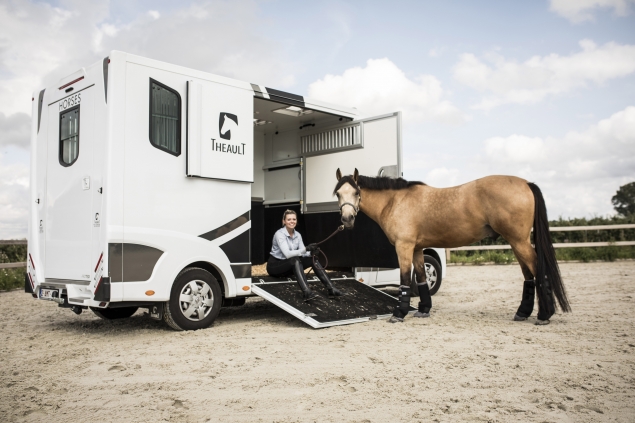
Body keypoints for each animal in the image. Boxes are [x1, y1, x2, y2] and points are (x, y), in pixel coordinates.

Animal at [333, 168, 571, 325]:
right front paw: (423, 310)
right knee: (528, 276)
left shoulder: (404, 247)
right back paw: (523, 313)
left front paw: (399, 313)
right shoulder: (417, 249)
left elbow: (404, 279)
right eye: (338, 193)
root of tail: (526, 183)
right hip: (516, 242)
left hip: (519, 241)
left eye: (356, 192)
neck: (395, 201)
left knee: (538, 270)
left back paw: (544, 315)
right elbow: (422, 278)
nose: (347, 219)